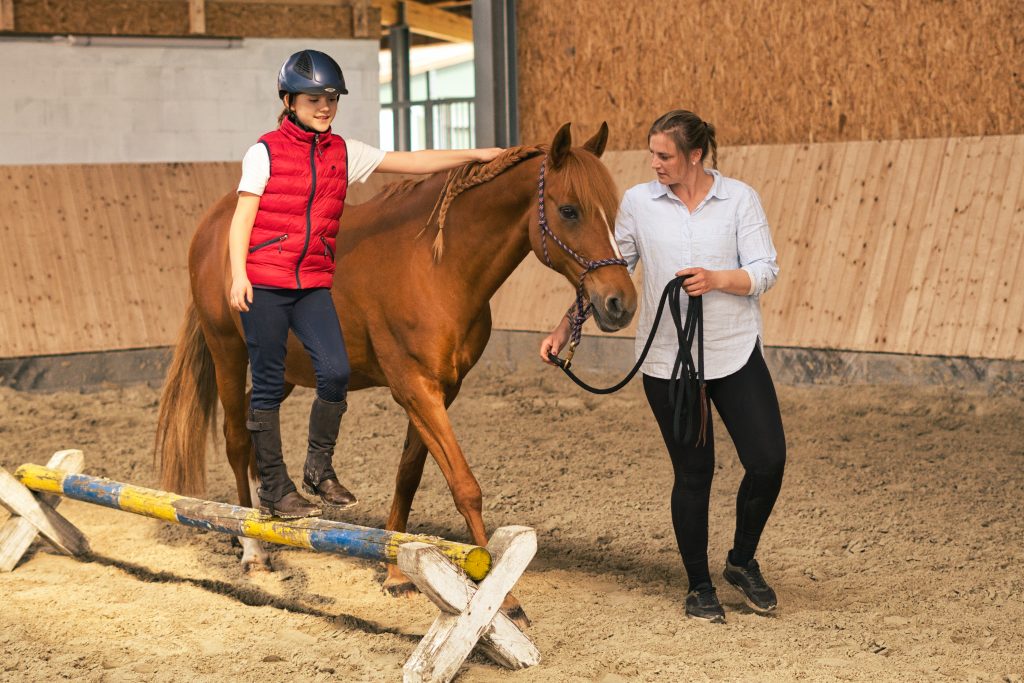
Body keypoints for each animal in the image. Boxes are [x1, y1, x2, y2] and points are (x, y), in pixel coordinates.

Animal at [155, 121, 634, 618]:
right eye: (569, 210)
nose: (620, 302)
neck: (436, 267)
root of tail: (214, 223)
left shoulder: (441, 390)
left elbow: (409, 476)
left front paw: (396, 573)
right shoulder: (415, 388)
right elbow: (465, 485)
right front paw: (503, 597)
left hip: (284, 370)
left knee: (255, 424)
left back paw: (263, 518)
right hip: (229, 351)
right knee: (235, 439)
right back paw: (252, 550)